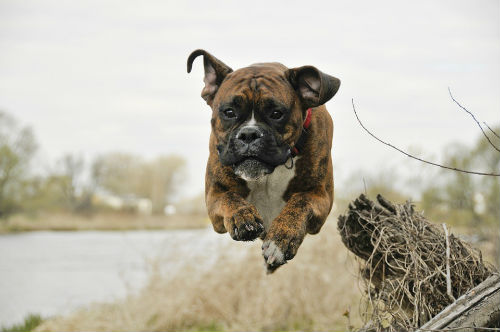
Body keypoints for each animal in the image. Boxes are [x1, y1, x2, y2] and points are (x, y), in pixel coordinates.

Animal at [188, 49, 340, 272]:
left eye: (276, 114)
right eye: (229, 112)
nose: (249, 134)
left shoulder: (320, 196)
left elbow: (300, 202)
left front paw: (281, 240)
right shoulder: (215, 196)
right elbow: (230, 198)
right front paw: (242, 217)